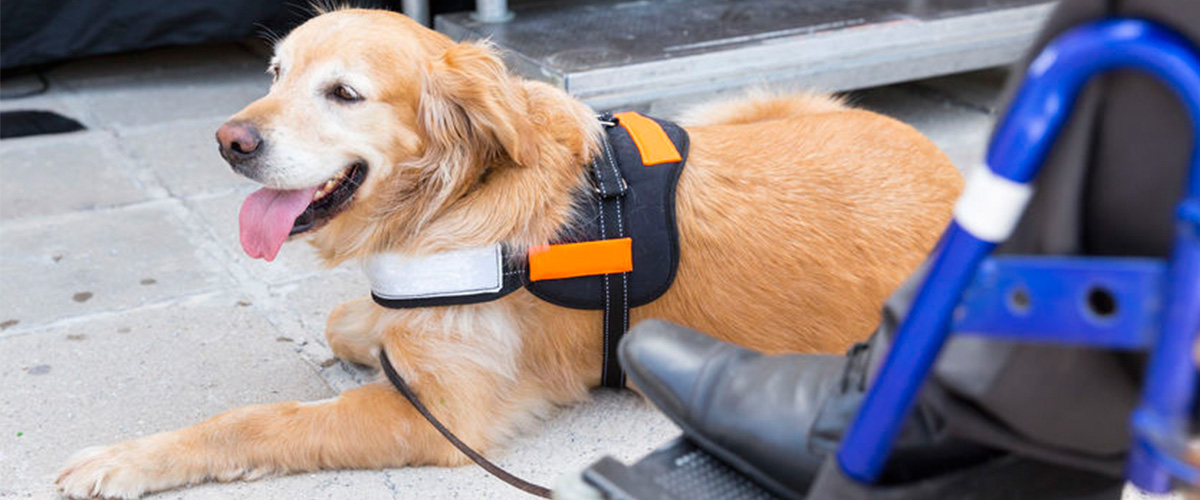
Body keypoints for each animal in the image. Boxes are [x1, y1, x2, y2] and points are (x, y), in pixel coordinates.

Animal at [56, 7, 964, 498]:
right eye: (274, 73)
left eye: (344, 93)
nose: (229, 142)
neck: (454, 194)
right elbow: (352, 321)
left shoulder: (442, 417)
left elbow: (259, 420)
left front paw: (125, 460)